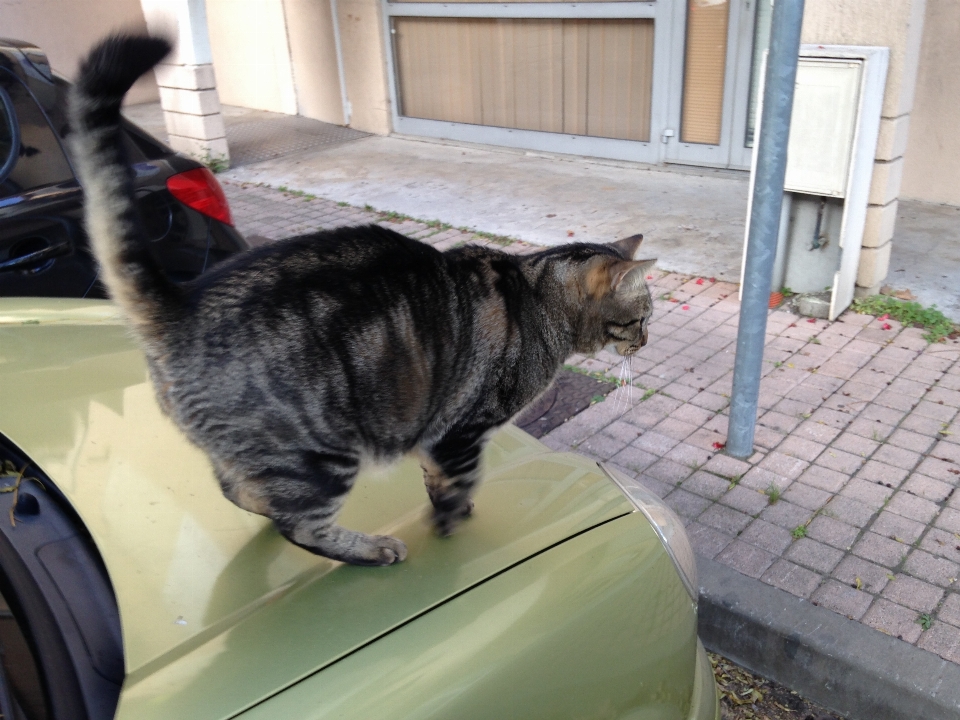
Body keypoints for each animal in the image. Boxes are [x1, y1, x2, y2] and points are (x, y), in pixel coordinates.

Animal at [65, 33, 652, 564]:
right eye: (644, 317)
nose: (644, 343)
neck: (537, 293)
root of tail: (182, 304)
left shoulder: (436, 432)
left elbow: (434, 475)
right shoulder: (463, 428)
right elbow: (459, 480)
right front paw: (450, 522)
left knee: (240, 491)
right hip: (320, 454)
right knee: (299, 525)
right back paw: (370, 549)